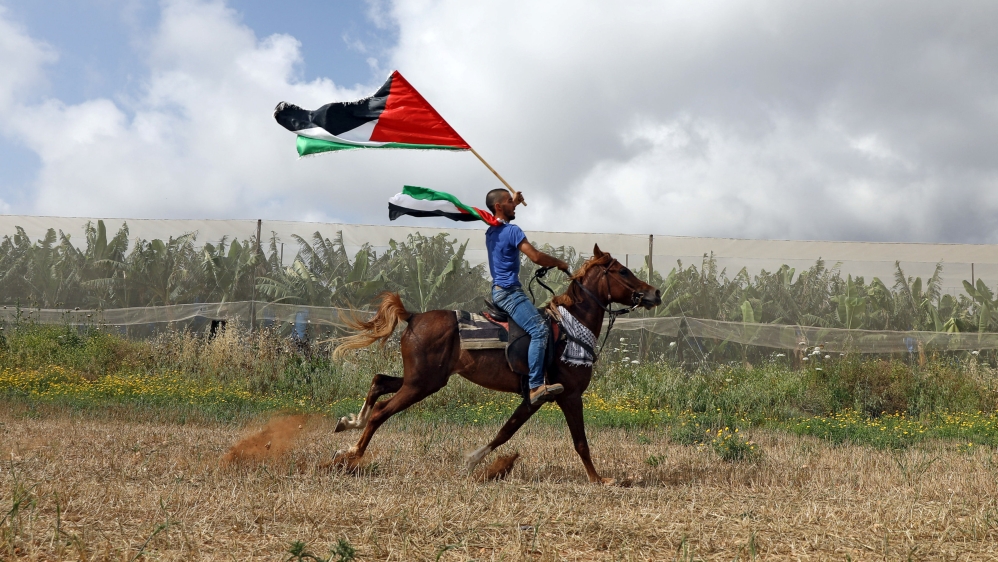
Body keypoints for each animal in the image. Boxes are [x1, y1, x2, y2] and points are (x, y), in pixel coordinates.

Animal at [330, 244, 661, 484]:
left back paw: (349, 423)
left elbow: (506, 432)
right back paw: (351, 454)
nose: (654, 293)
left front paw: (473, 462)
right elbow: (580, 441)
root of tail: (413, 316)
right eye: (623, 271)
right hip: (421, 384)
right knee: (381, 412)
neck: (570, 327)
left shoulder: (534, 398)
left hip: (422, 379)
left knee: (379, 381)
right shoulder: (569, 395)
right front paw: (599, 479)